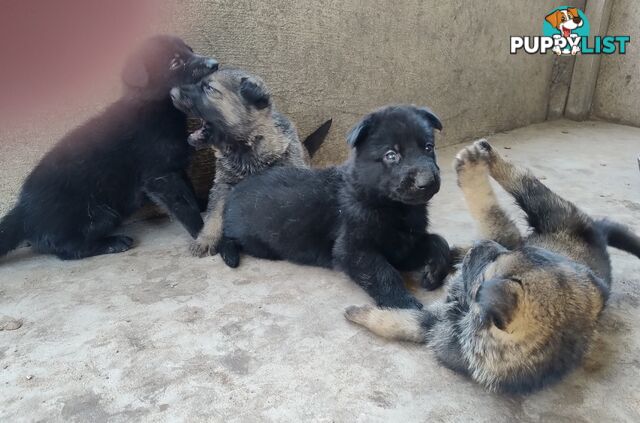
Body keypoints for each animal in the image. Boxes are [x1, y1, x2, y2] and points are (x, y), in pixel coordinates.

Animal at [0, 35, 218, 262]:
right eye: (175, 62)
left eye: (190, 50)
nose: (215, 64)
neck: (154, 107)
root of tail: (23, 210)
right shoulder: (160, 177)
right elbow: (183, 206)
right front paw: (202, 232)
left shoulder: (175, 167)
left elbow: (189, 192)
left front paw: (202, 205)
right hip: (100, 215)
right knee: (66, 249)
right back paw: (112, 243)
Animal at [170, 68, 330, 256]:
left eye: (209, 88)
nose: (171, 92)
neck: (248, 145)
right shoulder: (223, 186)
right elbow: (214, 214)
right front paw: (206, 239)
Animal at [220, 105, 456, 308]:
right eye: (391, 155)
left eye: (428, 147)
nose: (427, 181)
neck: (394, 208)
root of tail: (233, 193)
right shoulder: (354, 250)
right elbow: (384, 273)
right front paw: (403, 304)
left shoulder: (402, 246)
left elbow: (439, 241)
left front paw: (434, 272)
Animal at [344, 141, 640, 396]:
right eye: (505, 255)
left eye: (487, 269)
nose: (482, 246)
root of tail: (598, 235)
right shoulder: (508, 244)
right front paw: (359, 312)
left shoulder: (439, 325)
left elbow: (399, 322)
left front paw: (360, 314)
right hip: (548, 216)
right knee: (525, 185)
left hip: (553, 213)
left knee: (524, 185)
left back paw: (474, 164)